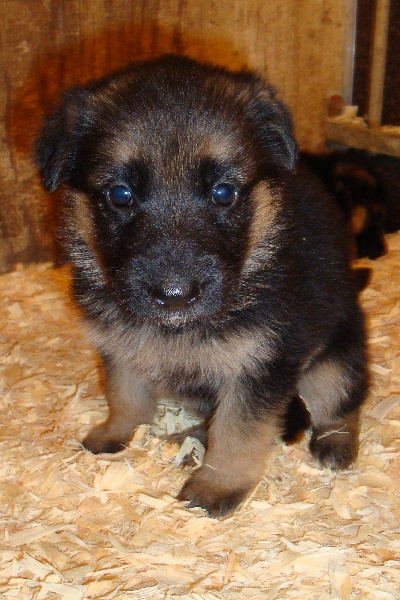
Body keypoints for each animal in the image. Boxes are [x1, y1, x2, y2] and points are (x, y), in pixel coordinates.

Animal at [36, 56, 368, 517]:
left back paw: (335, 443)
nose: (175, 295)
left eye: (223, 192)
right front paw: (119, 432)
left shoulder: (258, 366)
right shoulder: (119, 343)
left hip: (333, 363)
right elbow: (125, 394)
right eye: (120, 195)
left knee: (341, 401)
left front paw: (218, 485)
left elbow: (238, 433)